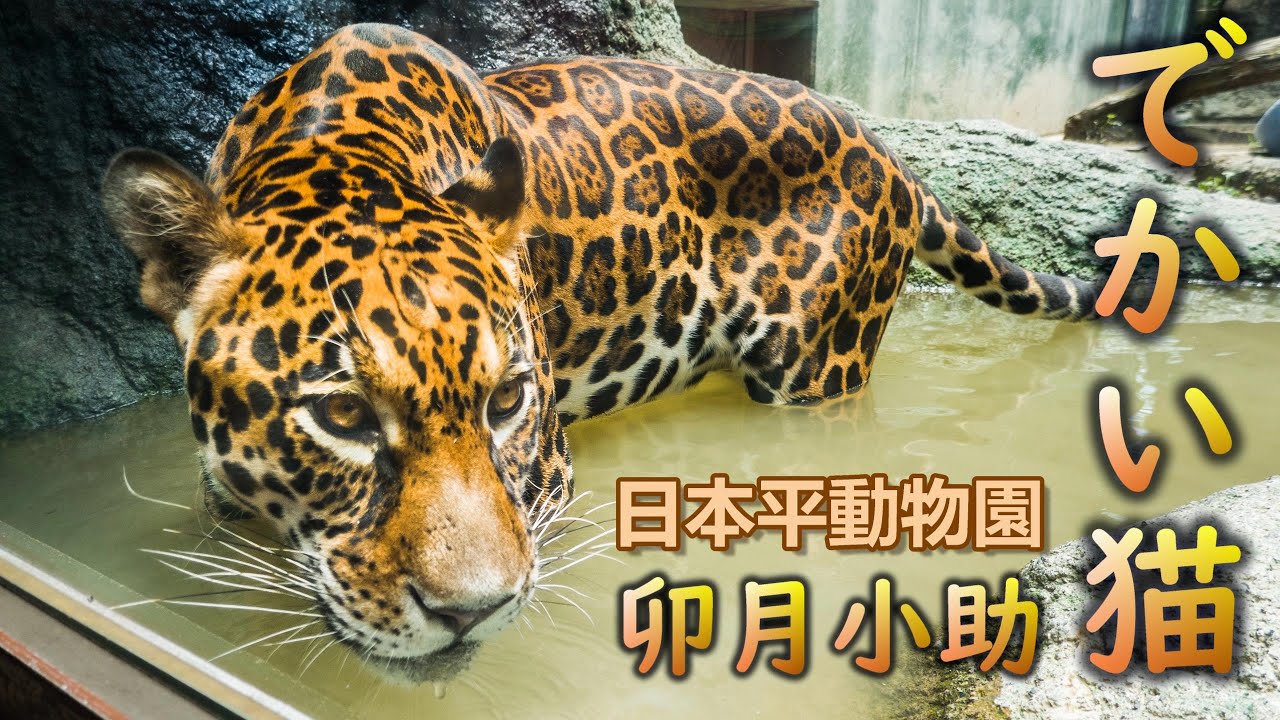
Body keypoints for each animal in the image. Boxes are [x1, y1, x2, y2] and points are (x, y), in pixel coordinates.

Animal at [100, 23, 1097, 682]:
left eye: (507, 403)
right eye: (342, 413)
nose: (470, 612)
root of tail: (887, 151)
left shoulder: (546, 480)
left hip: (817, 370)